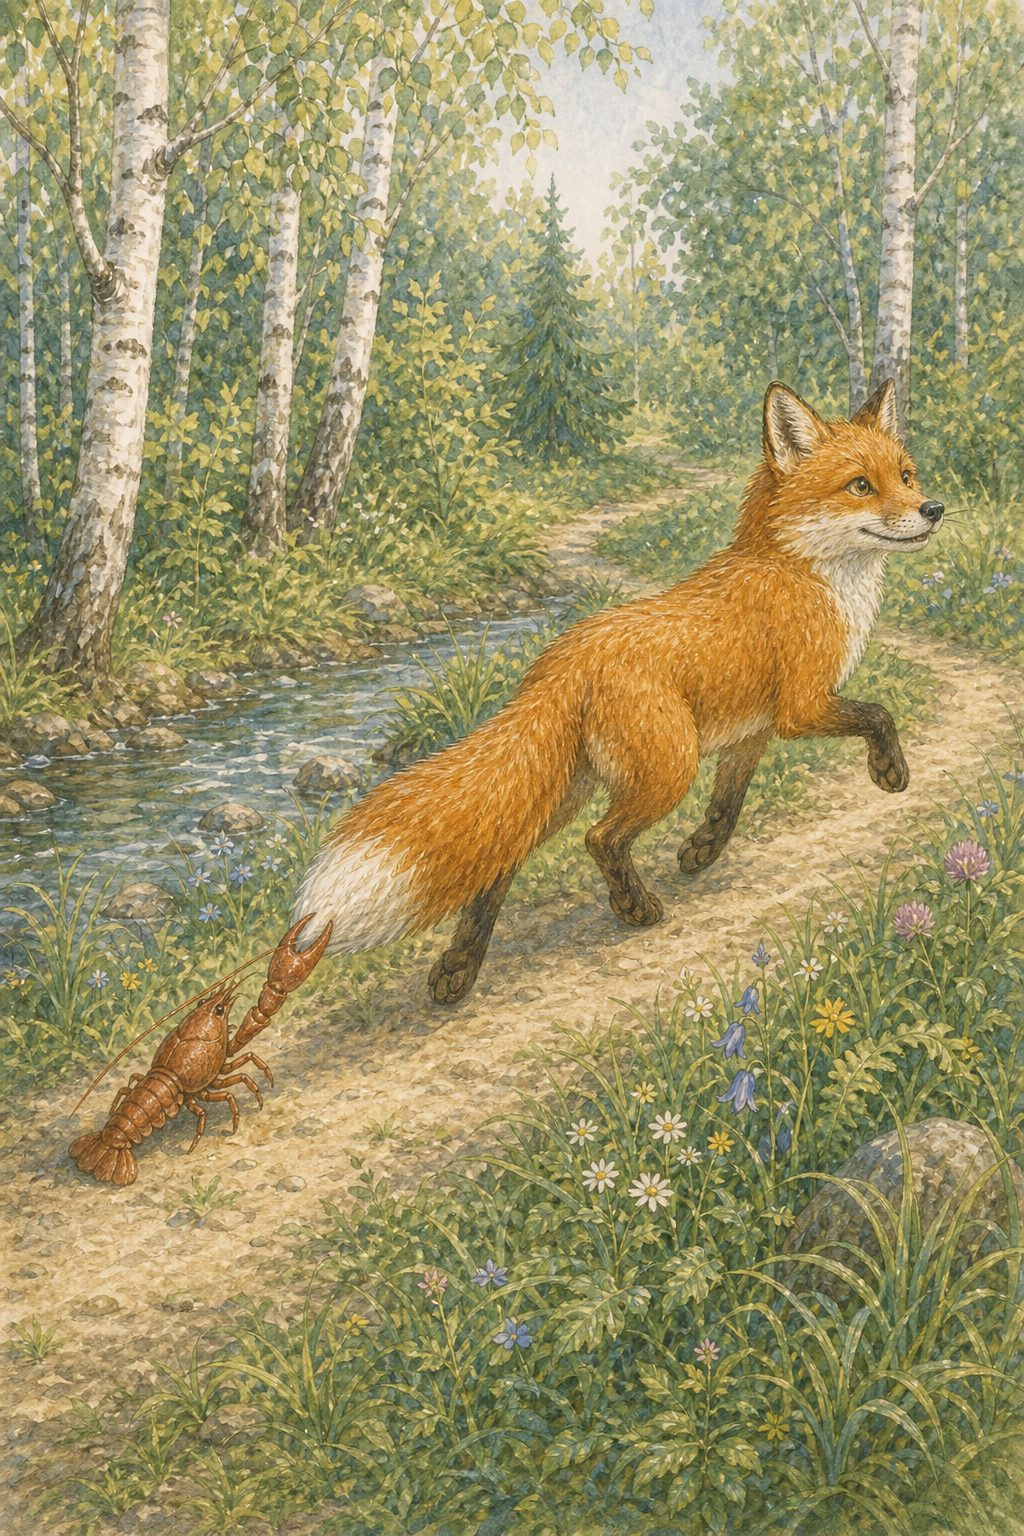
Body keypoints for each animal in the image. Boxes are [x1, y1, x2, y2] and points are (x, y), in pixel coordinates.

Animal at [291, 378, 943, 1004]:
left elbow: (728, 805)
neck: (806, 572)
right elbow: (879, 714)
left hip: (567, 790)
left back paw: (457, 971)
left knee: (500, 865)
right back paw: (634, 909)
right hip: (665, 769)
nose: (934, 508)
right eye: (860, 485)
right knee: (599, 839)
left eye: (906, 476)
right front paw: (891, 772)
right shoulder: (801, 708)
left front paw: (701, 852)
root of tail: (561, 659)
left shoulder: (751, 733)